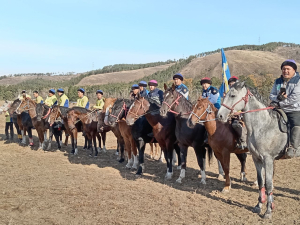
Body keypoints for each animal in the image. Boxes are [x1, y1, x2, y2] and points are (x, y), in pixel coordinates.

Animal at [217, 81, 288, 219]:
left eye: (232, 95)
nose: (220, 115)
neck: (263, 126)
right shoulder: (257, 158)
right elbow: (261, 182)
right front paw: (258, 206)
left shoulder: (268, 160)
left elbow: (268, 184)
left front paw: (268, 211)